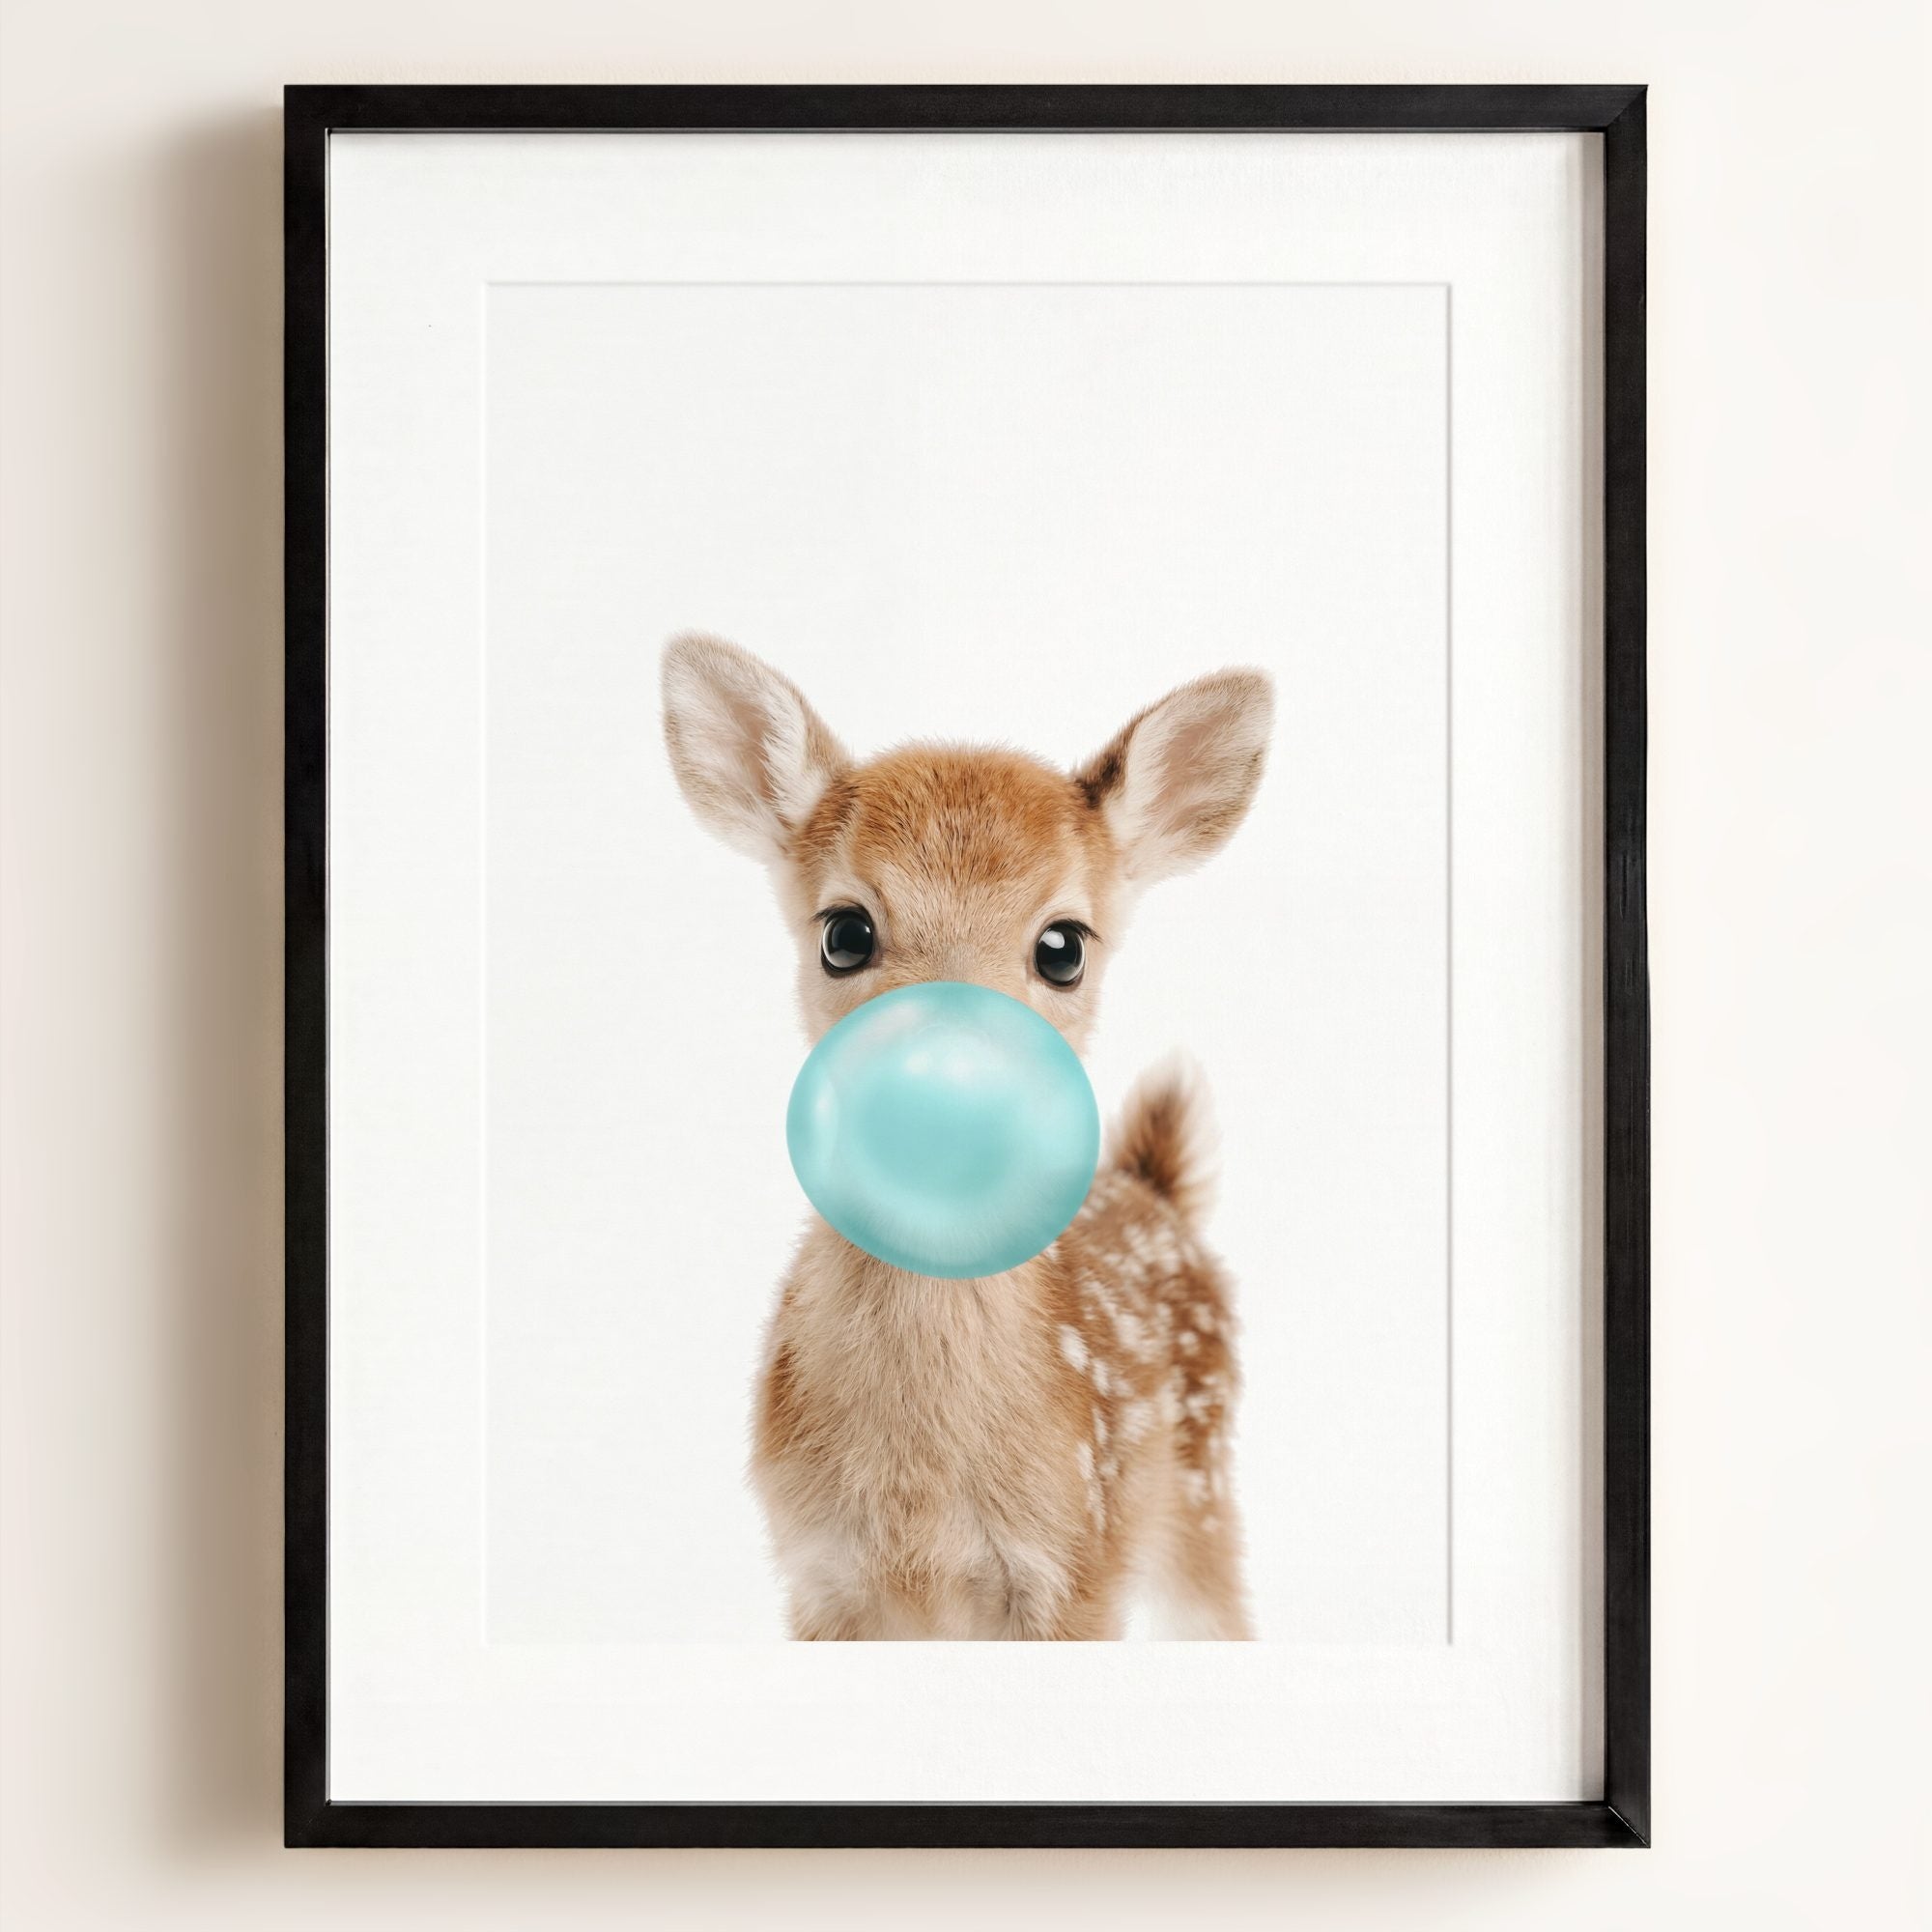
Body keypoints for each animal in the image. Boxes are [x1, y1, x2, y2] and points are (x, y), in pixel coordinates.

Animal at [661, 635, 1273, 1639]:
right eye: (845, 932)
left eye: (1063, 946)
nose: (946, 1087)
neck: (920, 1507)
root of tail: (1156, 1189)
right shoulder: (818, 1577)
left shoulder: (1077, 1569)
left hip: (1203, 1494)